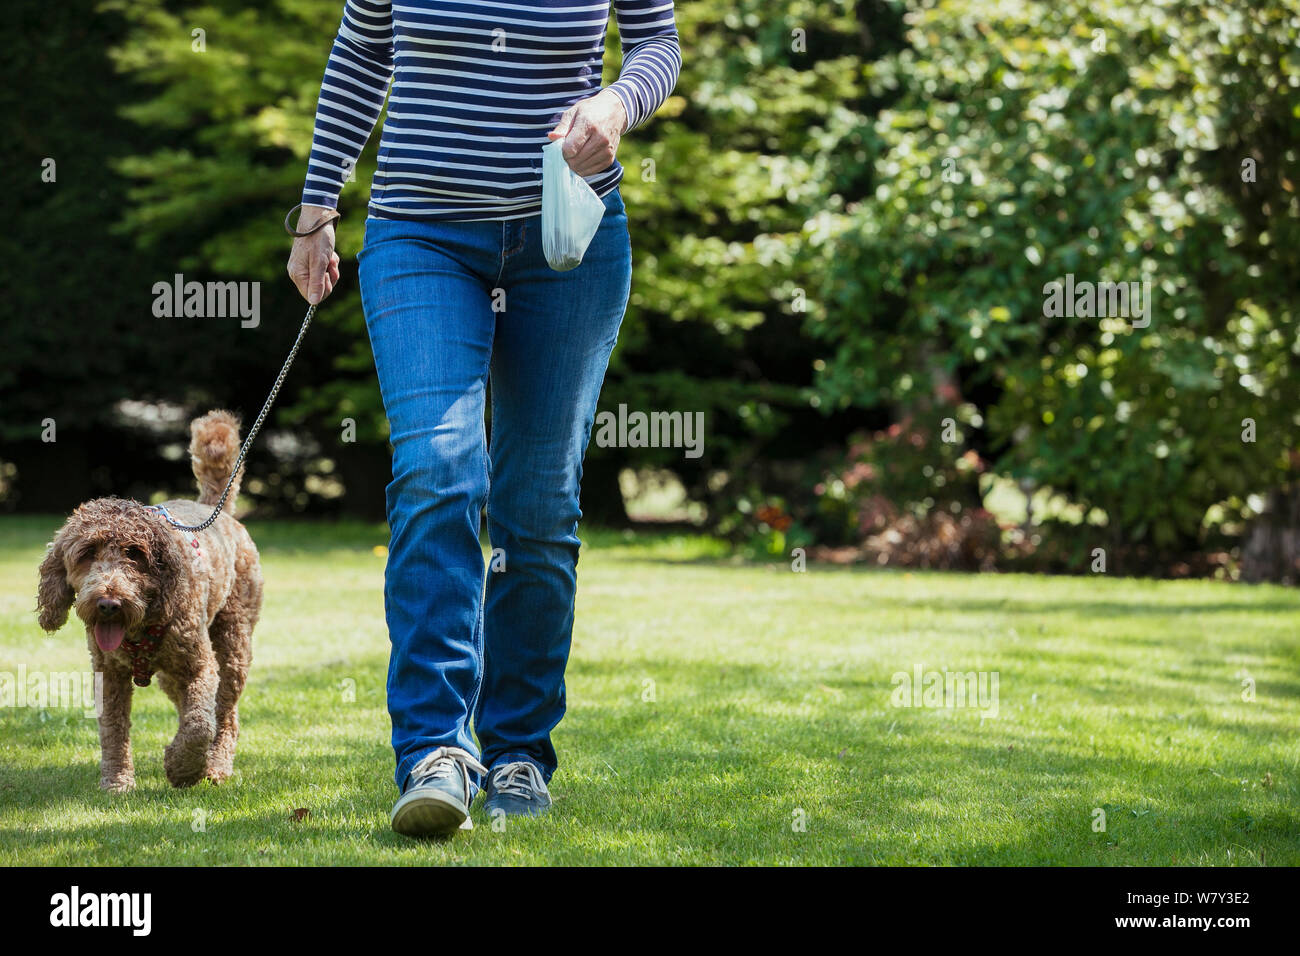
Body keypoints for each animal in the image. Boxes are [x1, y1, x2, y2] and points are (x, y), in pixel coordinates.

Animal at [34, 411, 262, 790]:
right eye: (86, 553)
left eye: (135, 554)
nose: (108, 603)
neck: (139, 628)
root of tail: (213, 506)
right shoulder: (108, 674)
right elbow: (113, 731)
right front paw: (117, 782)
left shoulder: (201, 666)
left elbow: (200, 725)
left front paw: (182, 767)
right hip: (173, 673)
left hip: (233, 644)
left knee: (224, 712)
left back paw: (215, 765)